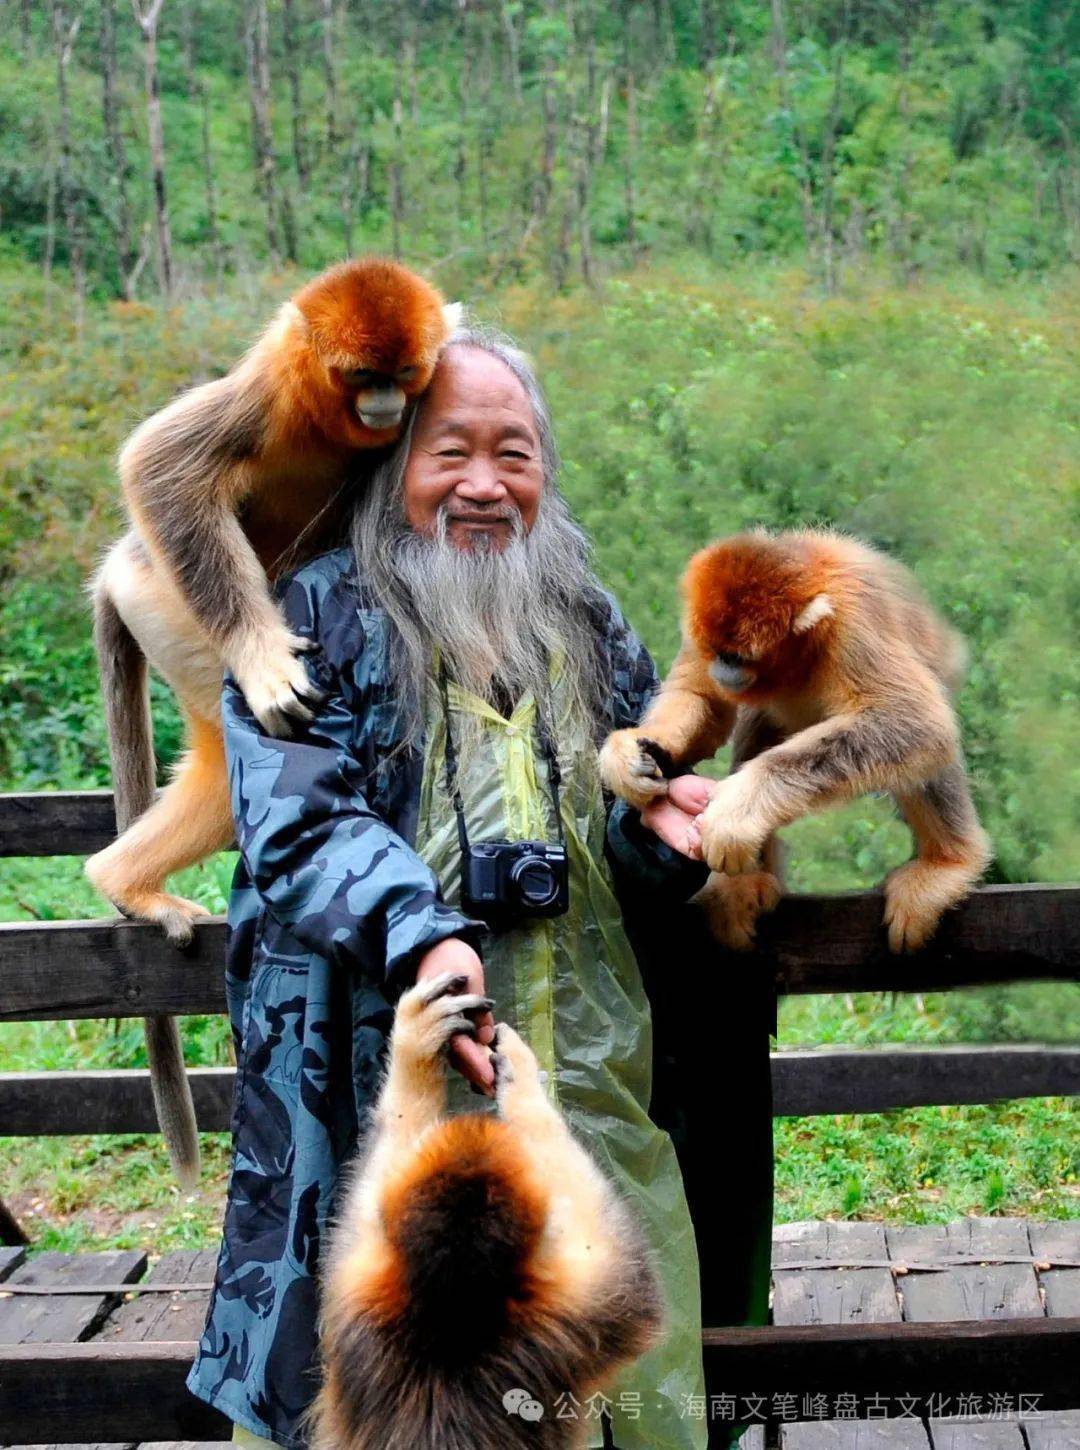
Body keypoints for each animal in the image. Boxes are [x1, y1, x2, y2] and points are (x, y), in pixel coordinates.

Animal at [83, 258, 459, 1187]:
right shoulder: (268, 393)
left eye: (404, 376)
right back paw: (125, 879)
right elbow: (160, 465)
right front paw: (263, 660)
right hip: (167, 600)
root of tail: (119, 569)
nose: (384, 407)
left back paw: (122, 879)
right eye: (361, 376)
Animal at [310, 970, 663, 1450]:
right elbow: (633, 1277)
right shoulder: (582, 1313)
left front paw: (416, 1044)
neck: (453, 1309)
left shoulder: (353, 1290)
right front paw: (523, 1081)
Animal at [600, 530, 991, 955]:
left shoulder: (854, 623)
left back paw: (948, 863)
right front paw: (632, 756)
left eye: (736, 657)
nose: (721, 669)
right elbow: (703, 700)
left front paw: (738, 810)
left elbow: (917, 722)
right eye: (718, 653)